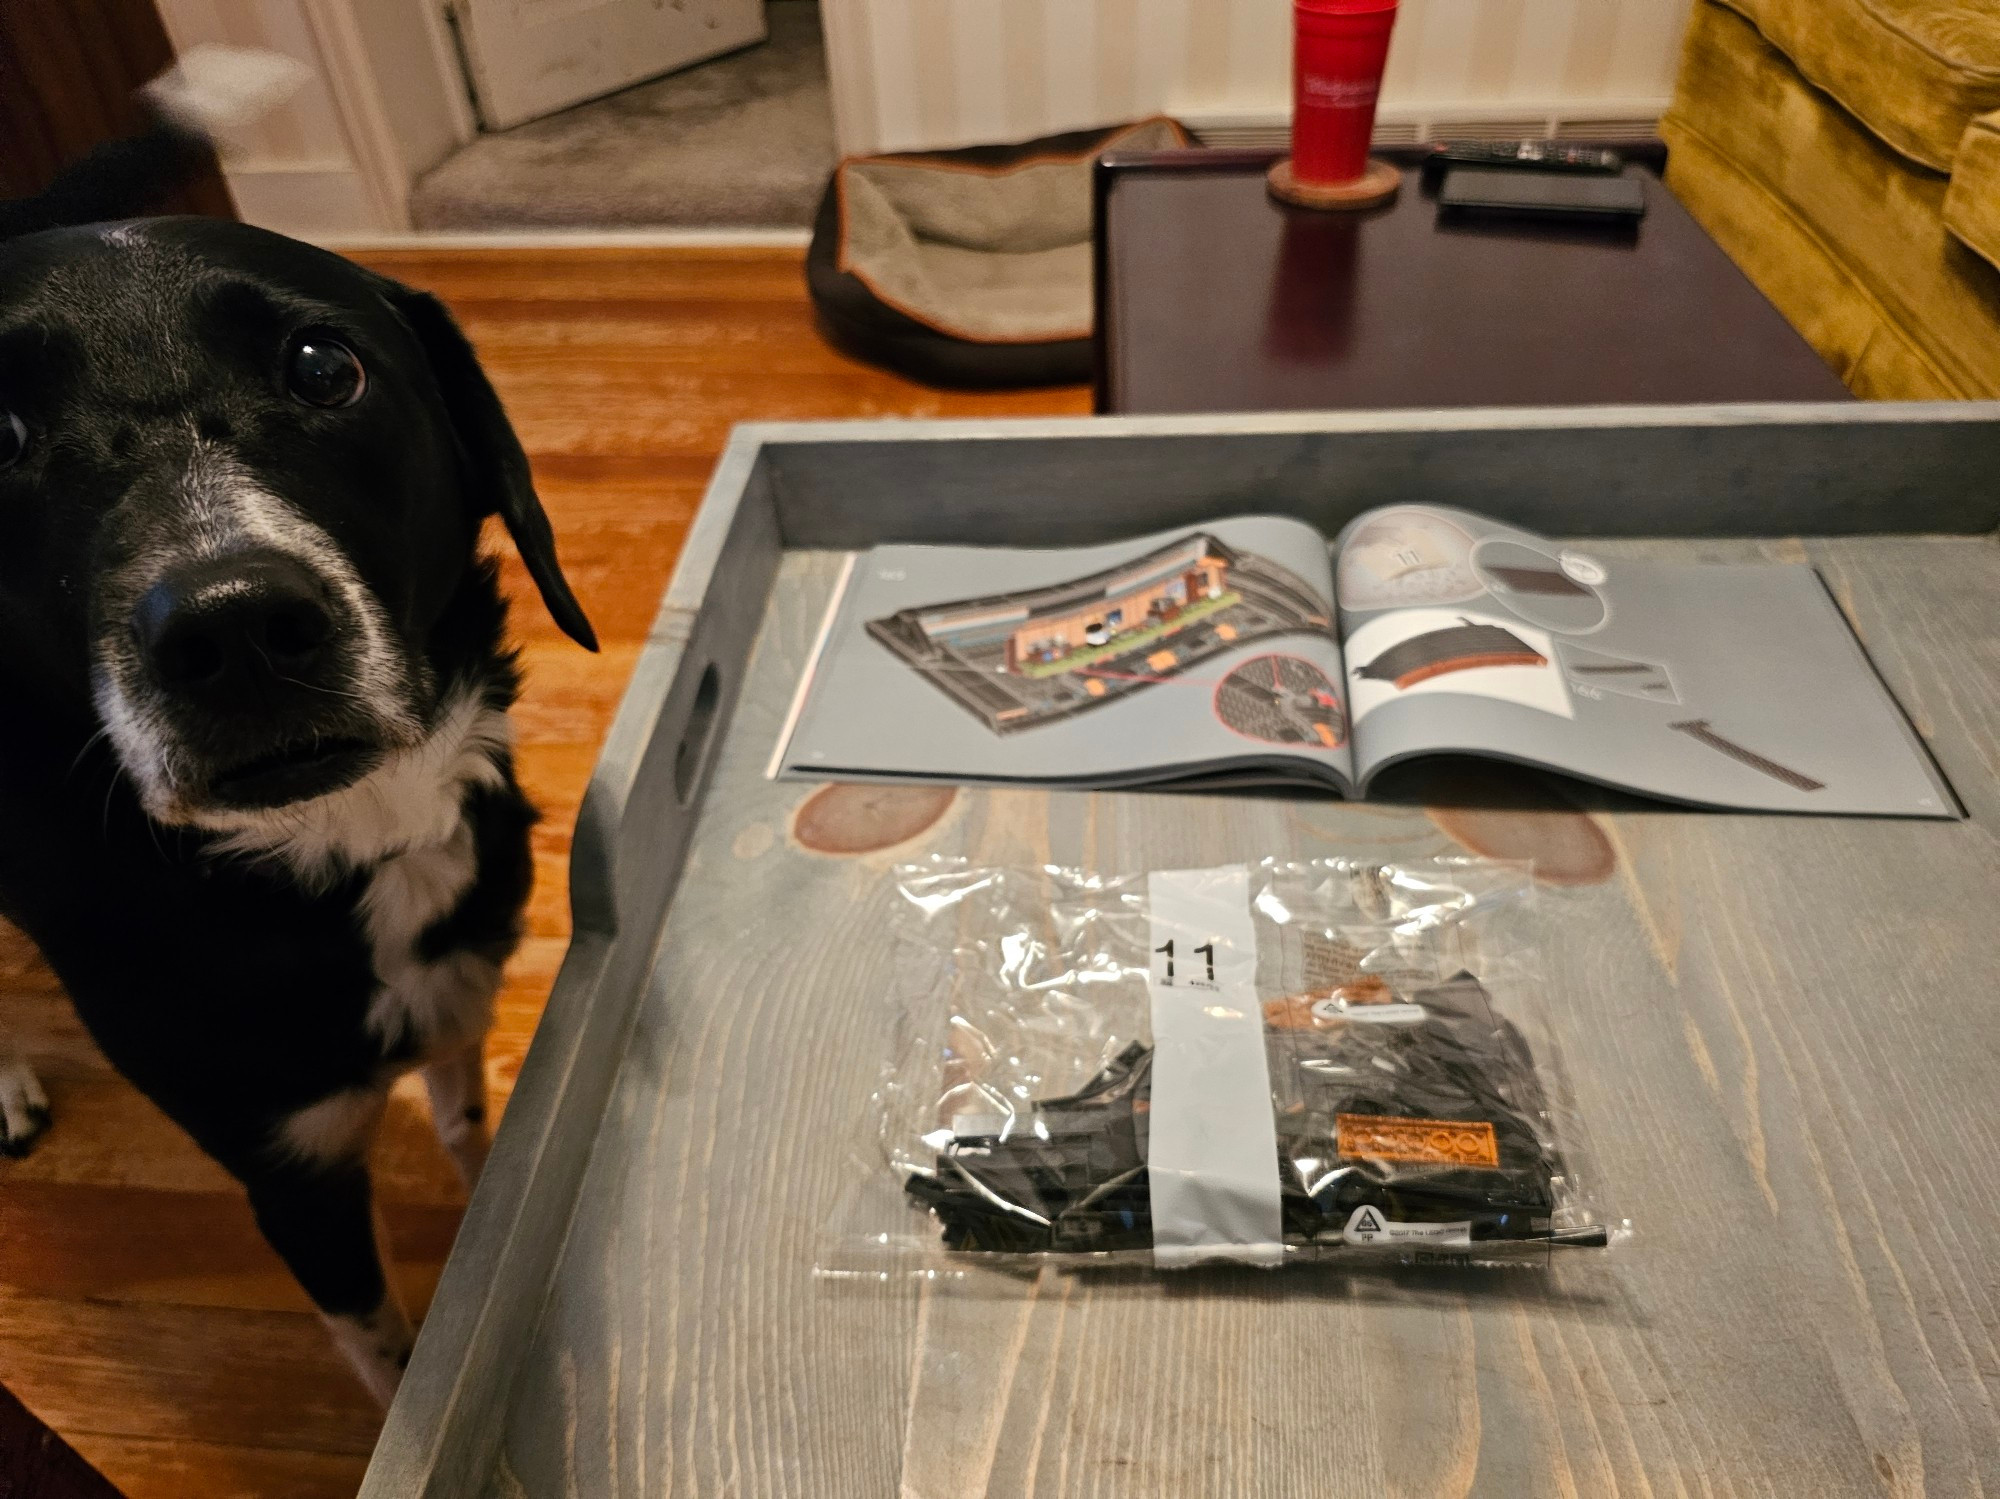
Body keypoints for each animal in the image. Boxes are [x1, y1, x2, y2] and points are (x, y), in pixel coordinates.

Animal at [0, 216, 592, 1407]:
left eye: (325, 368)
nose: (232, 628)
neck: (341, 850)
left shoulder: (460, 992)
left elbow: (473, 1134)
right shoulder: (293, 1172)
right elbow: (382, 1341)